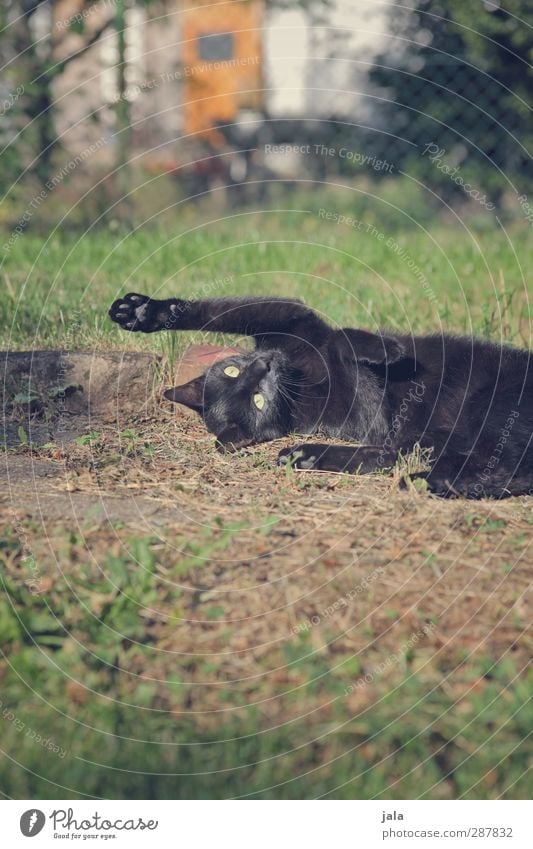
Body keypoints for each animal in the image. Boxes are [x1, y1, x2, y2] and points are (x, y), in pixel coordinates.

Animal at [109, 292, 532, 496]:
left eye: (233, 370)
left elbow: (218, 312)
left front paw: (142, 312)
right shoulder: (367, 416)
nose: (265, 364)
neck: (302, 378)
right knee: (504, 469)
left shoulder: (289, 316)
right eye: (258, 401)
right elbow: (347, 354)